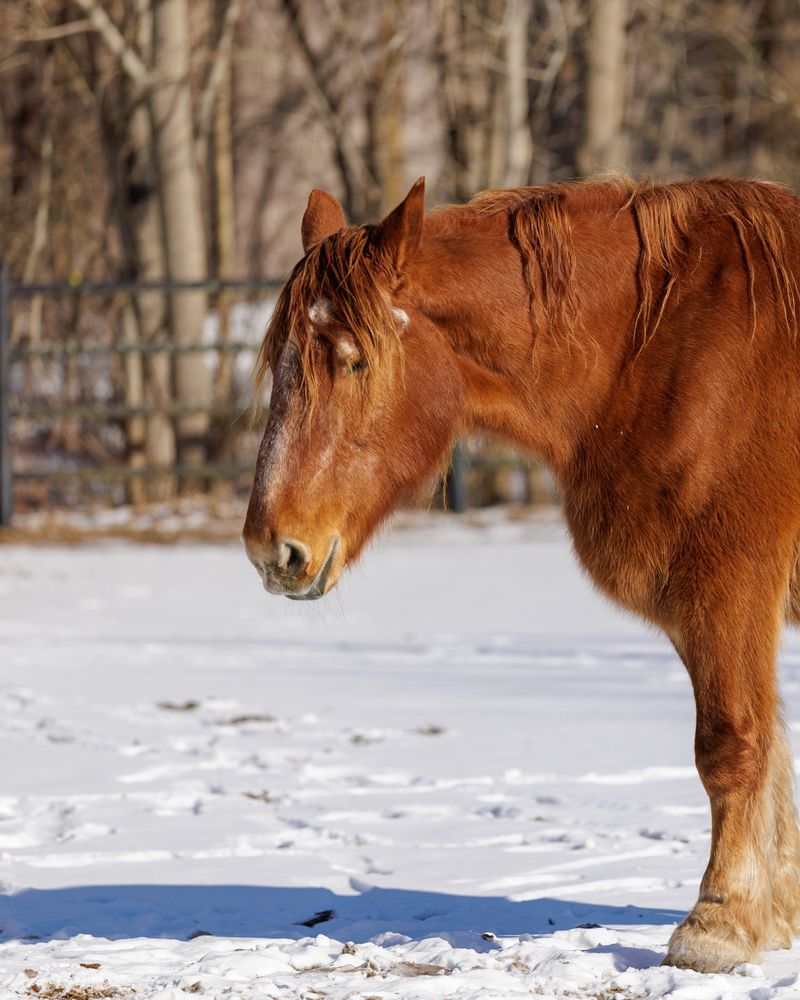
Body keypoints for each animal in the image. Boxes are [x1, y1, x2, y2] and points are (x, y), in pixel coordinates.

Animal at [242, 176, 800, 972]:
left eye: (353, 361)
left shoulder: (730, 587)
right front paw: (770, 919)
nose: (272, 548)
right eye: (282, 363)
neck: (669, 350)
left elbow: (731, 743)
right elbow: (771, 746)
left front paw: (717, 923)